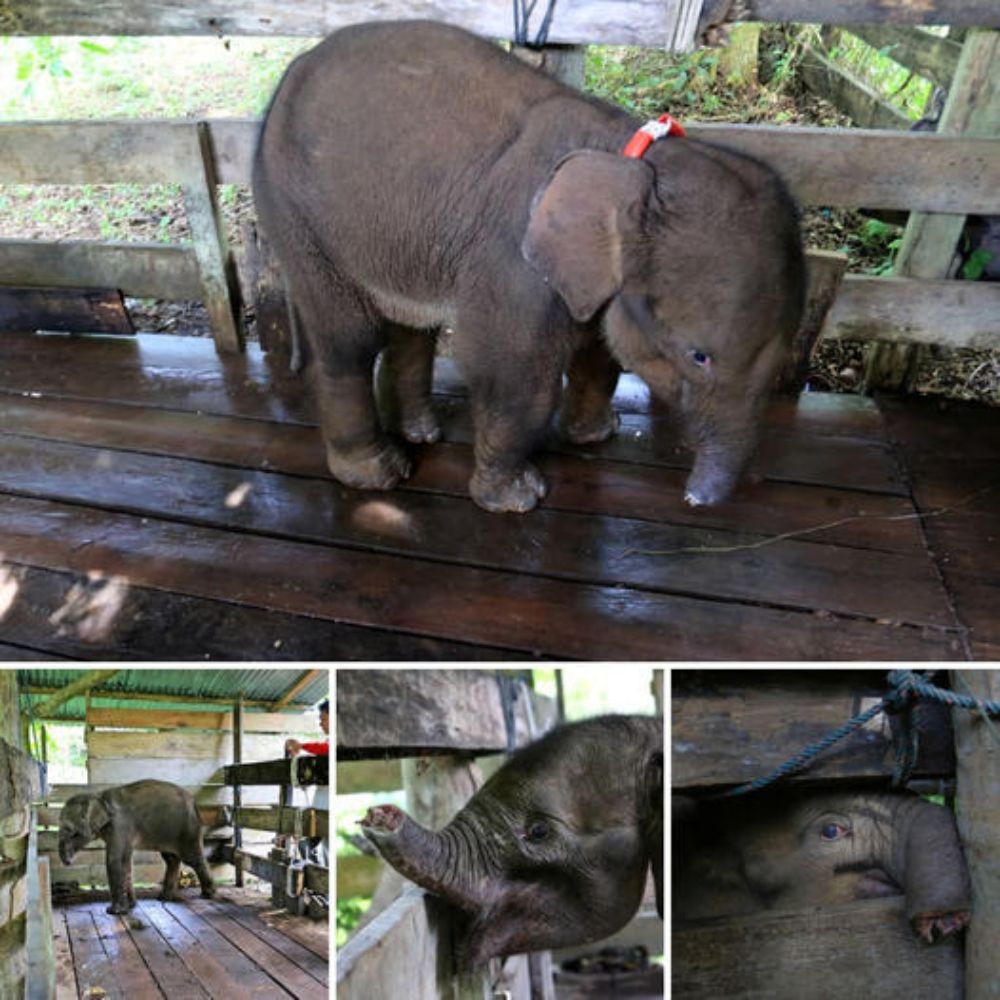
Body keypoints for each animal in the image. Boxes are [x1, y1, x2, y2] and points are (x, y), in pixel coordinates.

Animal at [57, 780, 216, 916]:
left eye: (73, 833)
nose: (68, 862)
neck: (99, 797)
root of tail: (194, 803)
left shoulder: (120, 824)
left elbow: (115, 860)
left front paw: (114, 911)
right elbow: (126, 861)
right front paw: (131, 905)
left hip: (188, 828)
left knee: (192, 859)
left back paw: (207, 895)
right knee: (170, 859)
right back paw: (164, 897)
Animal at [254, 18, 808, 516]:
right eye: (699, 357)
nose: (693, 500)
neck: (632, 160)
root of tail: (293, 68)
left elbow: (600, 350)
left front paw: (593, 437)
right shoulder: (512, 264)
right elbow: (513, 372)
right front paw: (518, 499)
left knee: (413, 327)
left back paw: (421, 432)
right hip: (296, 213)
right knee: (348, 339)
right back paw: (378, 474)